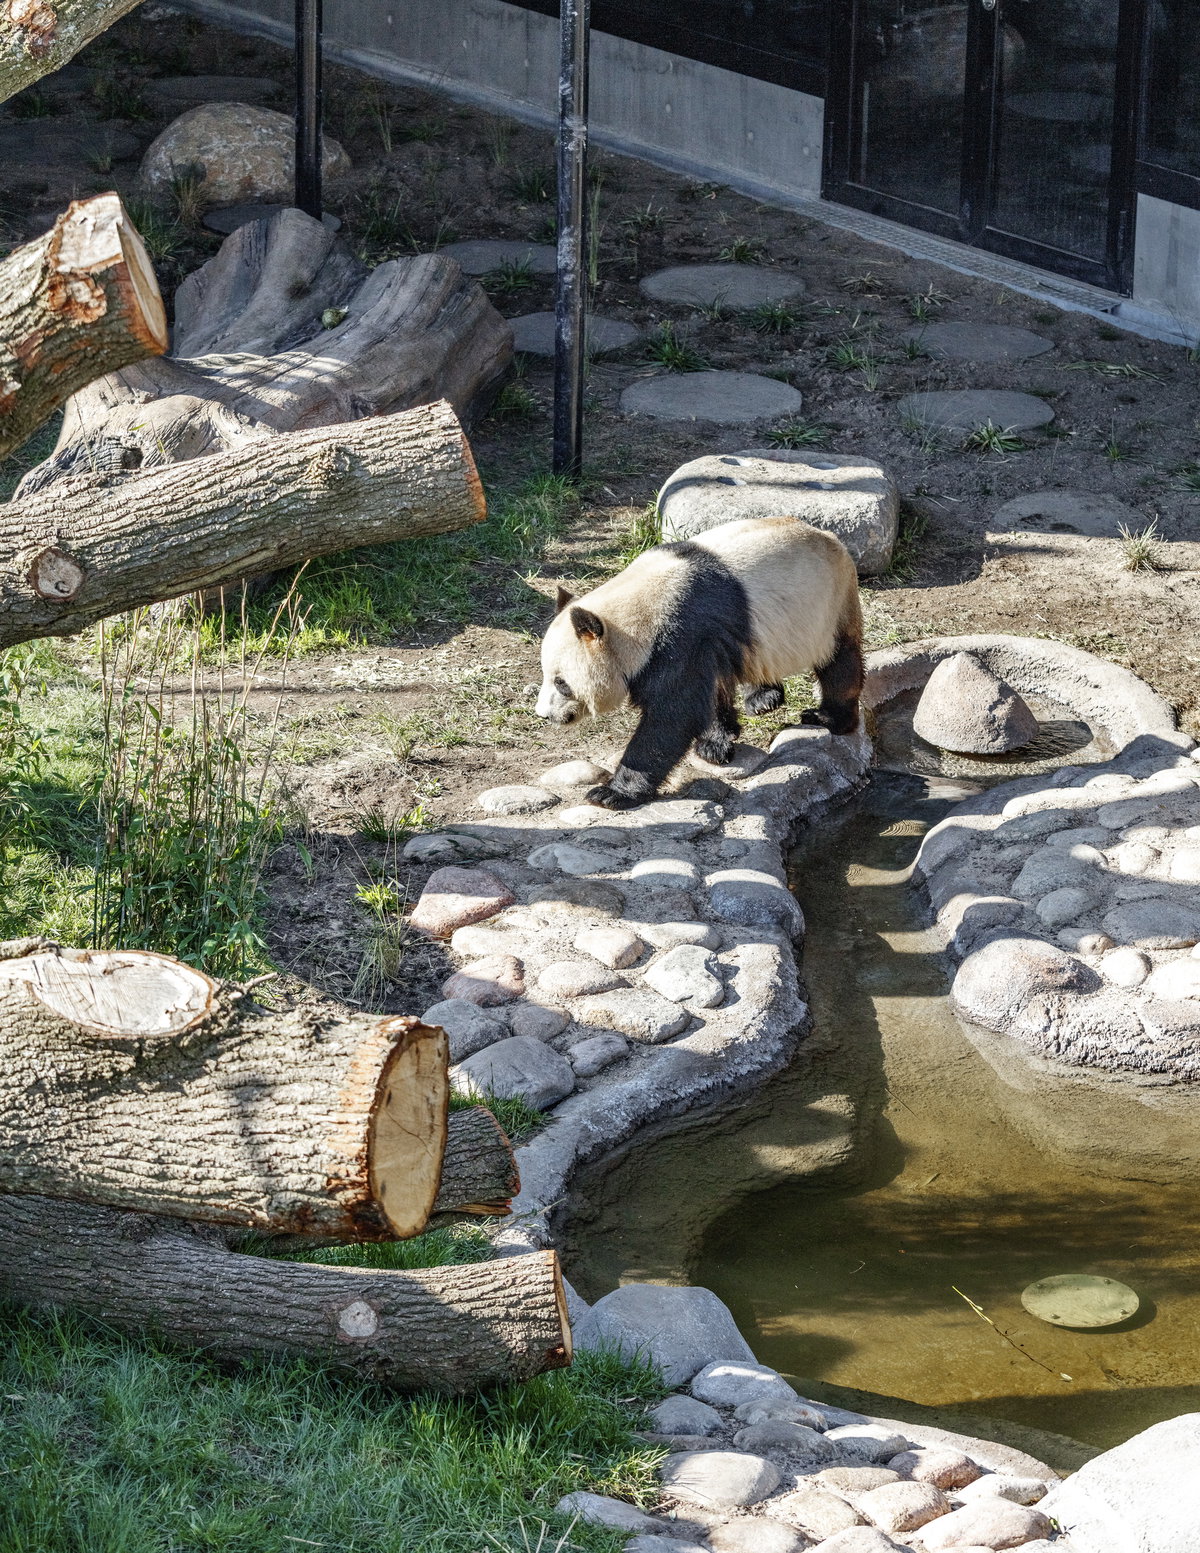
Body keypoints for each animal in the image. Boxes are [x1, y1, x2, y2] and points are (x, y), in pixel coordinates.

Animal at [535, 514, 863, 810]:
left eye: (561, 683)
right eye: (545, 675)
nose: (544, 714)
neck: (632, 612)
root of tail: (829, 537)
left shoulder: (680, 636)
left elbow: (674, 715)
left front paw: (611, 793)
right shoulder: (699, 639)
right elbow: (706, 693)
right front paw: (714, 743)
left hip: (827, 604)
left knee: (840, 662)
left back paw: (827, 718)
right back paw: (761, 698)